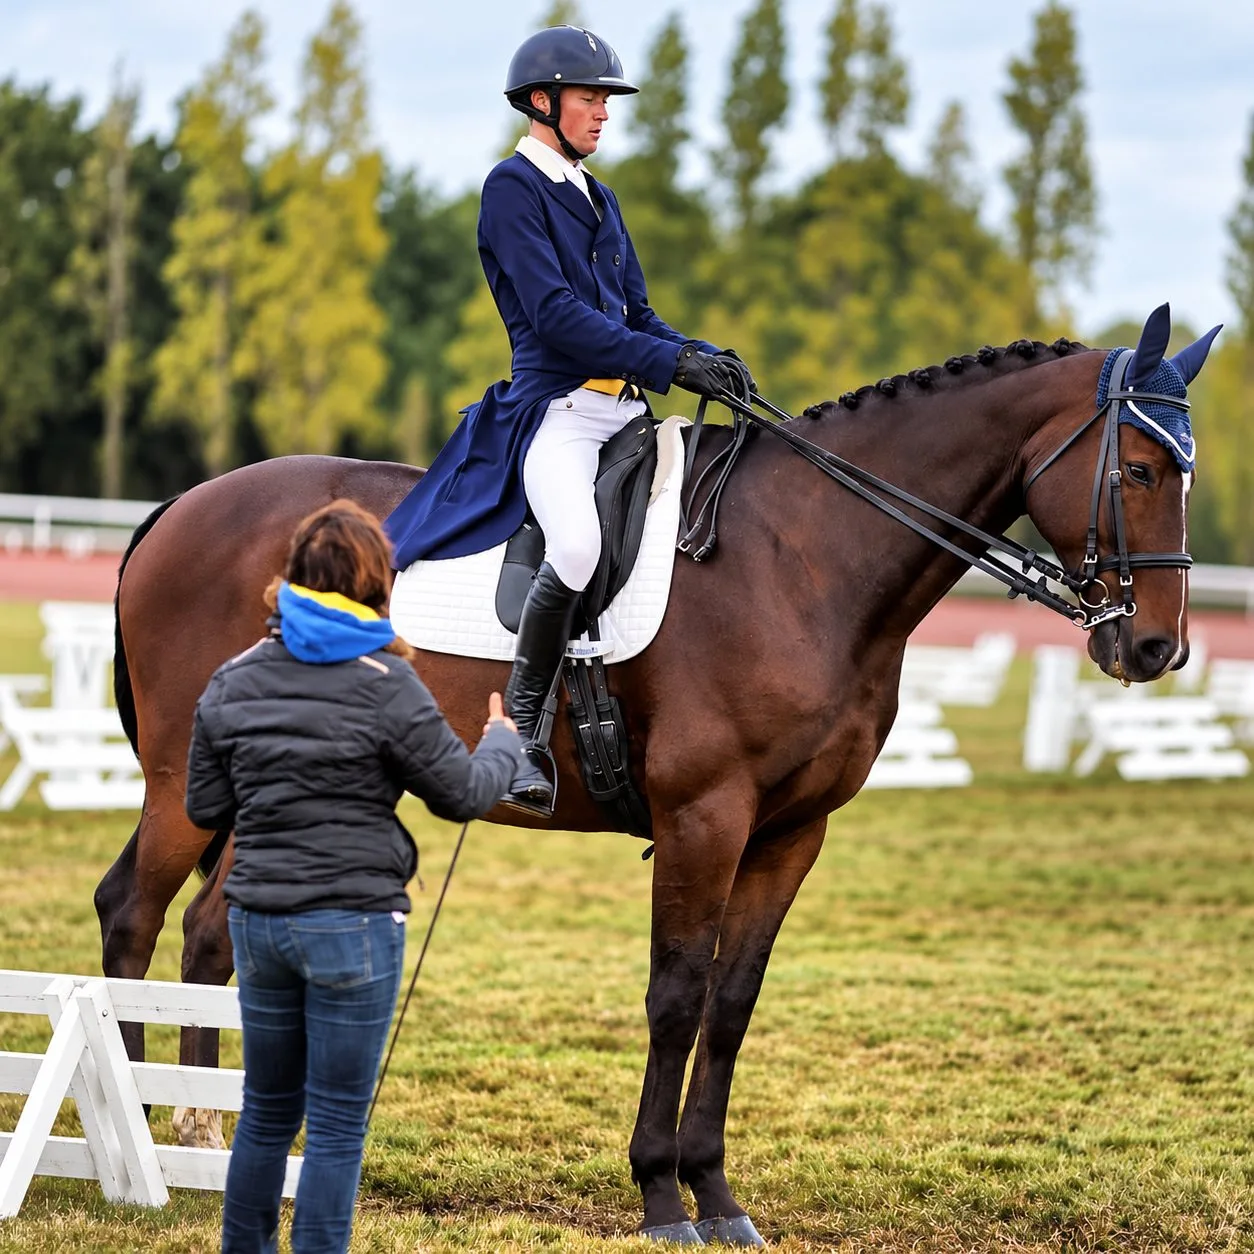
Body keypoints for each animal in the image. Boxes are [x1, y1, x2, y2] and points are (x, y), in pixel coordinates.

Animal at [96, 310, 1214, 1245]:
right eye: (1142, 469)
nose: (1156, 648)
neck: (806, 558)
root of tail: (185, 506)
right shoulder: (703, 819)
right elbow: (676, 996)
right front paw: (662, 1198)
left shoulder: (789, 833)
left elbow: (732, 1004)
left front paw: (717, 1196)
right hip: (183, 781)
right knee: (135, 913)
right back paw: (147, 1133)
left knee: (211, 933)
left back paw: (208, 1136)